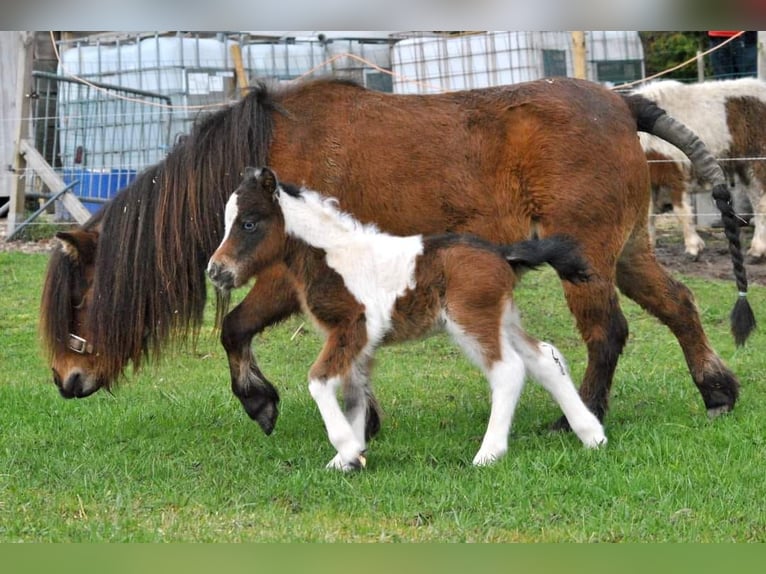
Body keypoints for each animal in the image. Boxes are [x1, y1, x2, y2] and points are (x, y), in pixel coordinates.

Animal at [40, 75, 756, 436]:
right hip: (624, 253)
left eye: (80, 299)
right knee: (679, 305)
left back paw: (579, 416)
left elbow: (234, 328)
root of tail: (620, 100)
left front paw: (259, 400)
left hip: (587, 262)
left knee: (608, 332)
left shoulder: (285, 275)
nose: (64, 382)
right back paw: (716, 390)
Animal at [208, 166, 608, 472]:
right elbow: (356, 394)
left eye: (248, 223)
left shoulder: (354, 327)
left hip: (471, 320)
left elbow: (319, 381)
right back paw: (592, 434)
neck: (332, 257)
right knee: (545, 358)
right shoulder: (359, 341)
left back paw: (488, 453)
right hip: (502, 317)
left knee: (507, 370)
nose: (216, 271)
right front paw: (349, 458)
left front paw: (348, 450)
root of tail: (502, 253)